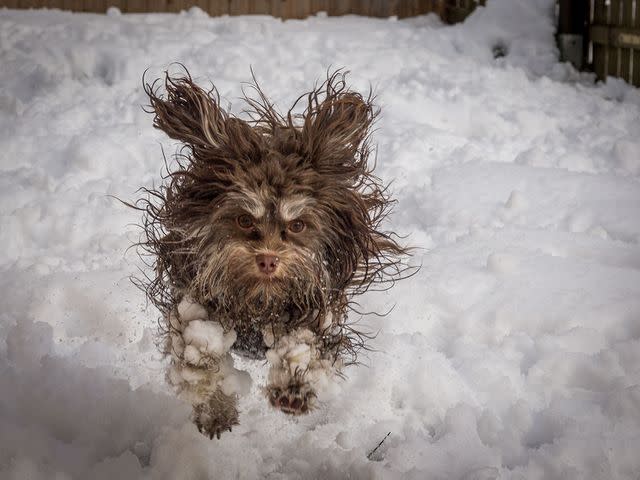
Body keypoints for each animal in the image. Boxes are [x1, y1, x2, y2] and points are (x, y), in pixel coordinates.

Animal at [135, 67, 410, 438]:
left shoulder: (314, 312)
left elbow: (304, 349)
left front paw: (293, 389)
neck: (259, 301)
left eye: (297, 225)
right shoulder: (194, 302)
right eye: (243, 219)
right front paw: (215, 408)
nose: (267, 259)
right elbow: (200, 356)